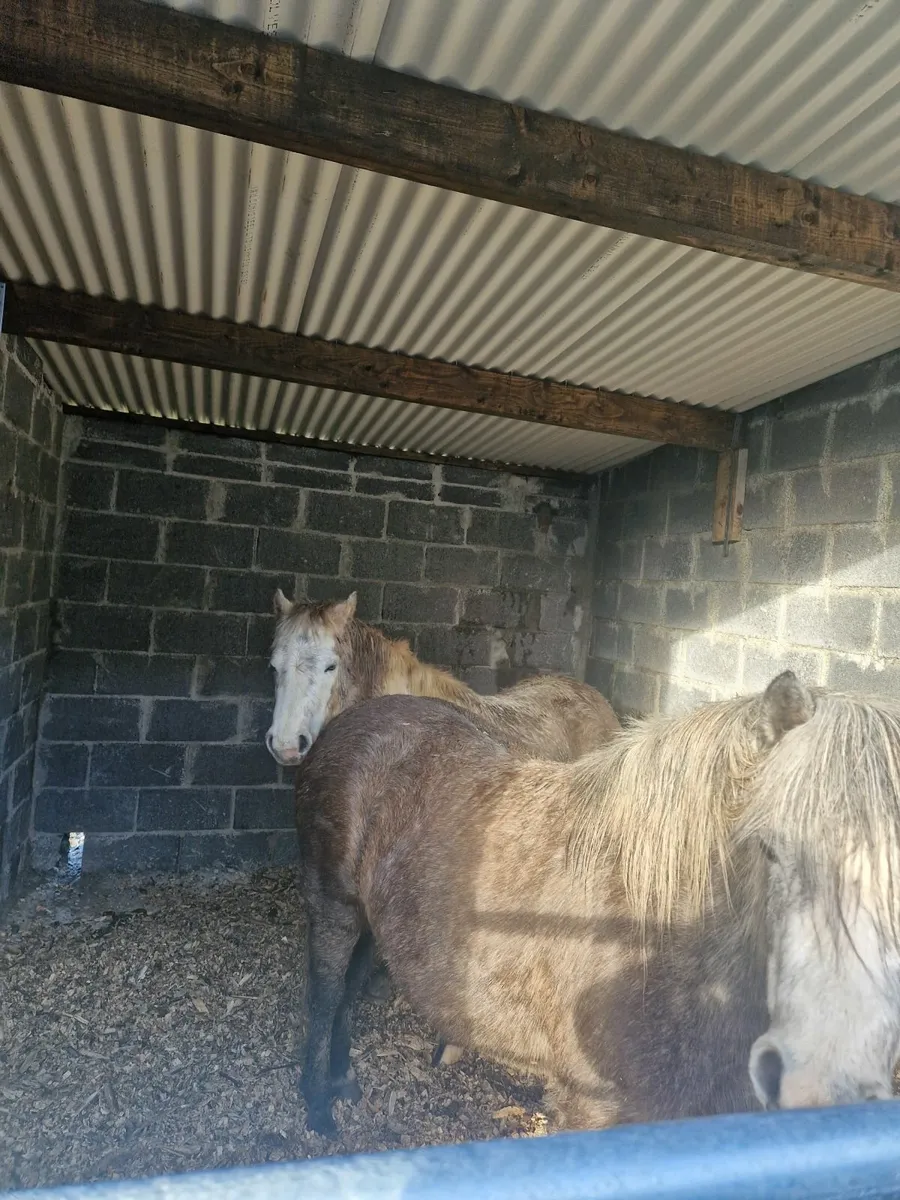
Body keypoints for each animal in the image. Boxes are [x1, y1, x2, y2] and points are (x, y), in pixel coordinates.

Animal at [293, 673, 900, 1136]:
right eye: (770, 847)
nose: (828, 1079)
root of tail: (349, 720)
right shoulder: (593, 1109)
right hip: (333, 907)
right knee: (326, 996)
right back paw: (318, 1106)